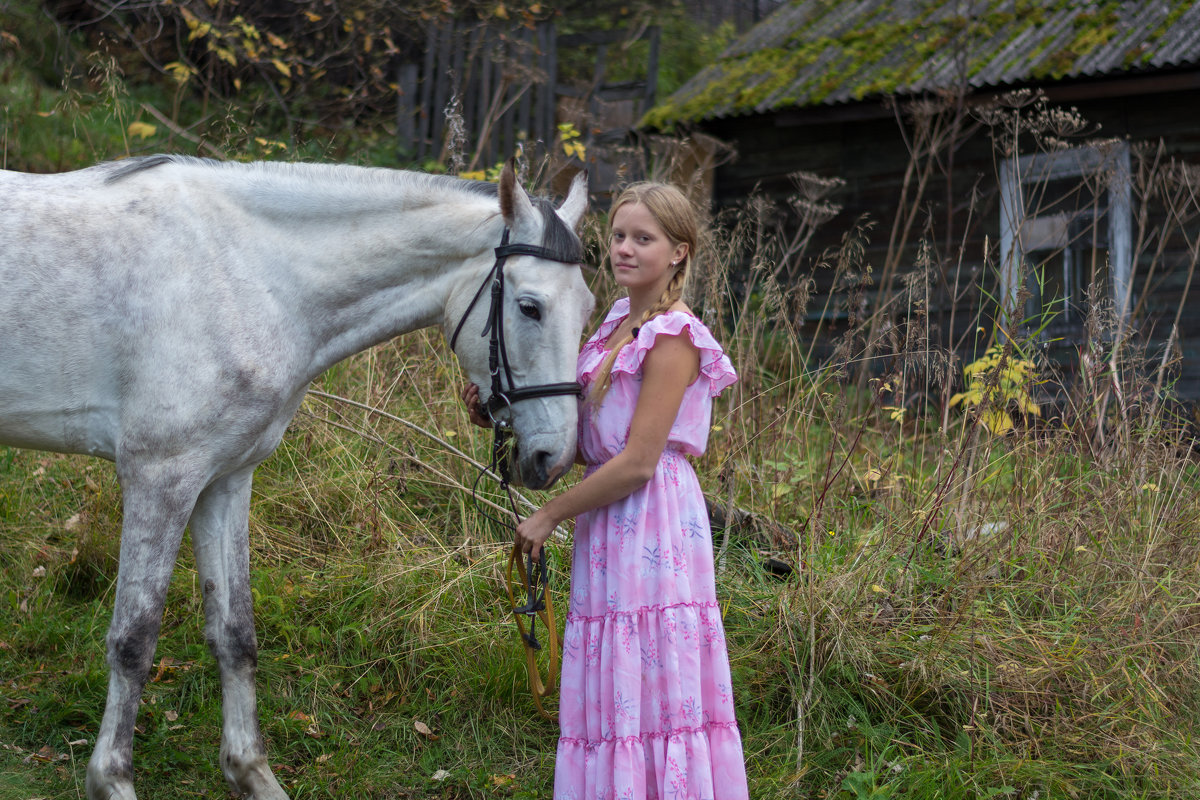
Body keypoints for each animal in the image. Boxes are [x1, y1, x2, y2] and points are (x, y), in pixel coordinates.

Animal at [0, 153, 595, 796]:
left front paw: (251, 772)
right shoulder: (161, 476)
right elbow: (133, 640)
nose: (554, 457)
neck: (249, 274)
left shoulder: (225, 478)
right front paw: (112, 781)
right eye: (530, 306)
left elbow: (235, 634)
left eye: (589, 307)